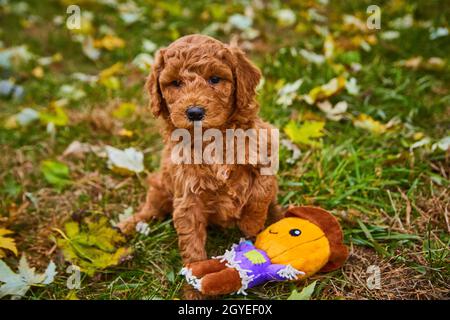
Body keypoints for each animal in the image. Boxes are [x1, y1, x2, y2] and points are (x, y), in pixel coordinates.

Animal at [118, 34, 278, 268]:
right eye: (175, 83)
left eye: (214, 79)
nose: (194, 112)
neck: (211, 138)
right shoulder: (187, 195)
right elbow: (190, 236)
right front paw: (196, 273)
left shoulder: (264, 152)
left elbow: (261, 191)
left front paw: (251, 224)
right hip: (160, 186)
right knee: (150, 209)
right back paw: (127, 225)